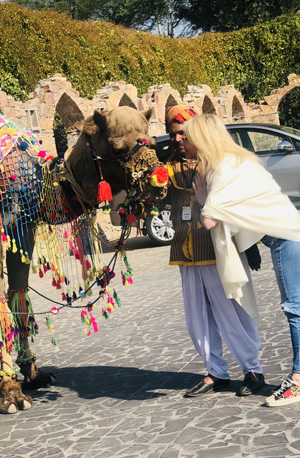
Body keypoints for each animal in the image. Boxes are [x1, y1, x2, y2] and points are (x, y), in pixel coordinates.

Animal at [0, 105, 169, 414]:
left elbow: (18, 295)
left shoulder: (22, 225)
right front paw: (10, 395)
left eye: (151, 142)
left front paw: (34, 376)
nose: (159, 179)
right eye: (117, 148)